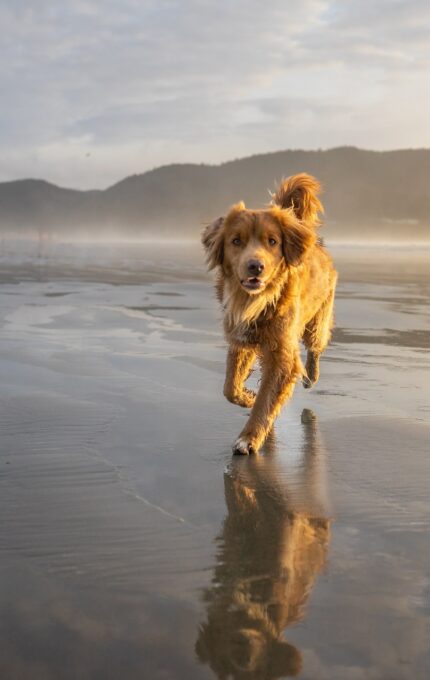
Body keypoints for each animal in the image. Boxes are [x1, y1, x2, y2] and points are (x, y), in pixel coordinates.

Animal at [202, 173, 336, 454]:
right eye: (236, 240)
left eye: (272, 241)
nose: (256, 266)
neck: (256, 302)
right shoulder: (241, 340)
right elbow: (230, 387)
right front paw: (247, 397)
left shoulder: (281, 352)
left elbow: (267, 399)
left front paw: (249, 438)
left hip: (318, 318)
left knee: (315, 346)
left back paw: (311, 376)